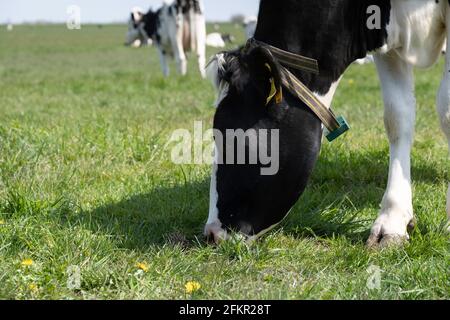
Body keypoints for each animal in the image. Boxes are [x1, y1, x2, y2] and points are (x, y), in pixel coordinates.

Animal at [205, 0, 450, 248]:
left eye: (236, 141)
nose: (211, 234)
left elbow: (446, 111)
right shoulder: (386, 39)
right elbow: (396, 117)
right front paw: (392, 221)